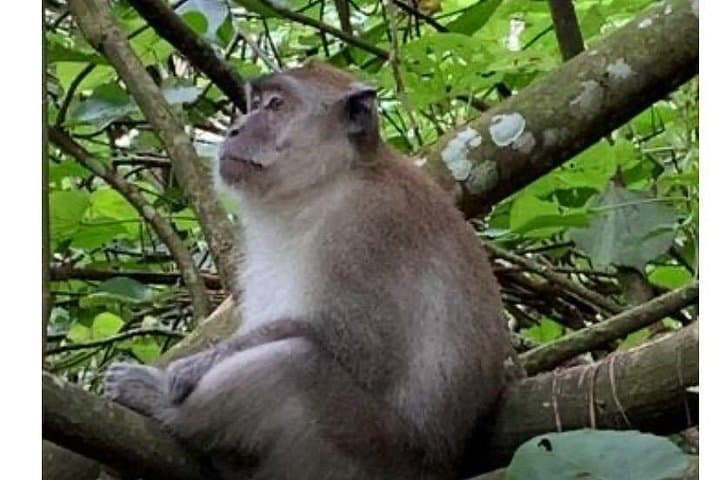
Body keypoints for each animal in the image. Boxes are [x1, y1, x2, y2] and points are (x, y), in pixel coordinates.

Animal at [103, 61, 510, 480]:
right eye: (255, 104)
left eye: (276, 105)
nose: (234, 129)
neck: (322, 185)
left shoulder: (368, 224)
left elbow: (357, 348)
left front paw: (188, 369)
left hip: (369, 451)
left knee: (291, 365)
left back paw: (165, 405)